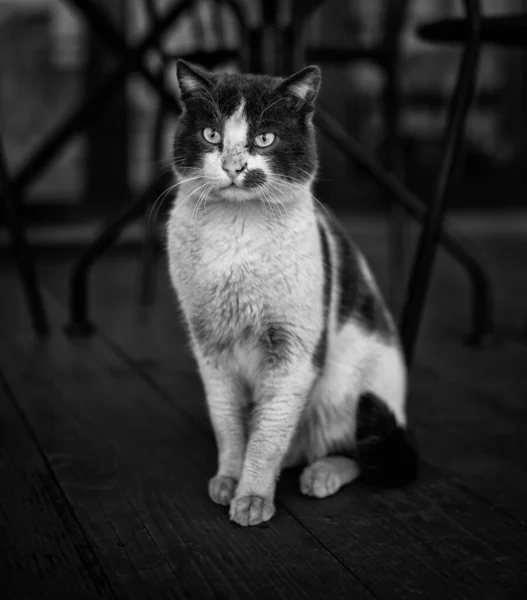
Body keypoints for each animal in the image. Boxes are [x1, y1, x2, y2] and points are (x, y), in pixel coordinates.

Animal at [167, 61, 418, 528]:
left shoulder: (294, 350)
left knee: (358, 452)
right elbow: (229, 423)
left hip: (350, 390)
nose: (233, 166)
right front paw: (230, 479)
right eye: (211, 134)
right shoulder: (209, 345)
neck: (237, 234)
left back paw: (320, 474)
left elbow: (268, 434)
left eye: (264, 138)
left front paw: (252, 497)